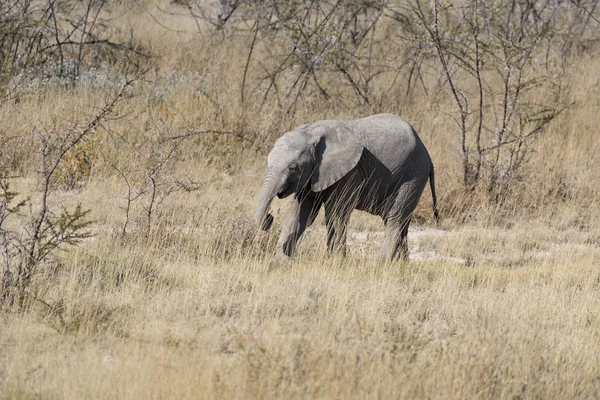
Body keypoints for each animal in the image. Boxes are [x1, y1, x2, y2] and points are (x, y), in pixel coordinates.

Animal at [255, 113, 438, 262]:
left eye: (293, 168)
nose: (270, 218)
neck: (311, 132)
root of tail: (427, 153)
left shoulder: (350, 172)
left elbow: (336, 213)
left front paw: (335, 262)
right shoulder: (313, 175)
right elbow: (300, 213)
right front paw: (279, 261)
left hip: (412, 175)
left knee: (395, 218)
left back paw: (382, 263)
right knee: (401, 222)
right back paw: (400, 265)